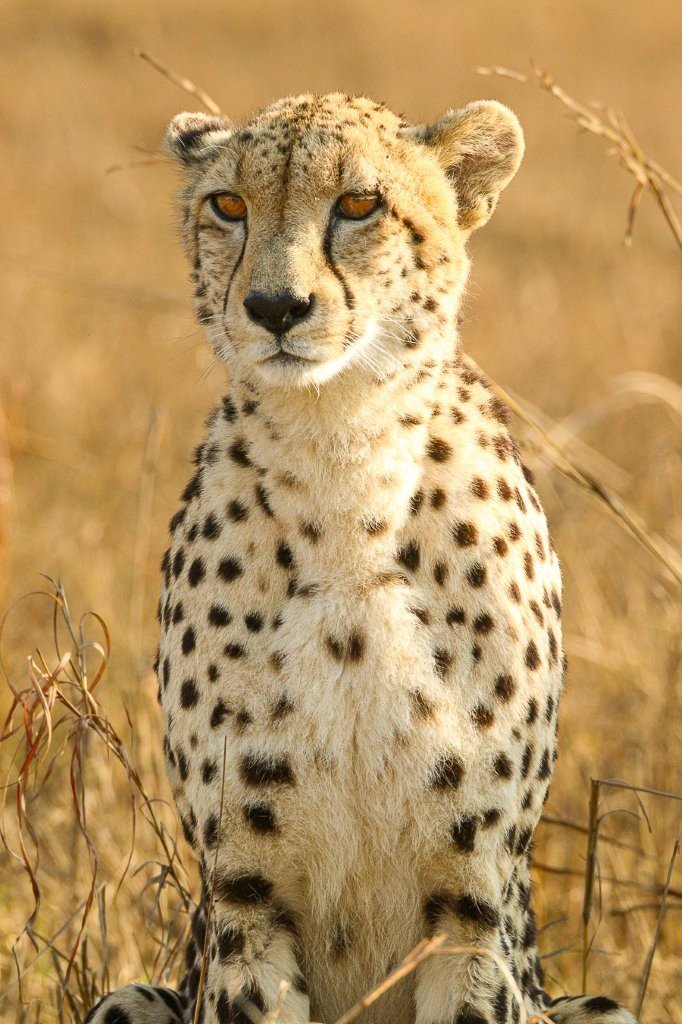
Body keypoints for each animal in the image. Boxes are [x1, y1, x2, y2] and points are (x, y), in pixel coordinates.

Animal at [86, 92, 639, 1024]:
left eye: (358, 204)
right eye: (228, 205)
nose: (275, 306)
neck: (341, 450)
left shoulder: (473, 907)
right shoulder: (243, 898)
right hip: (130, 995)